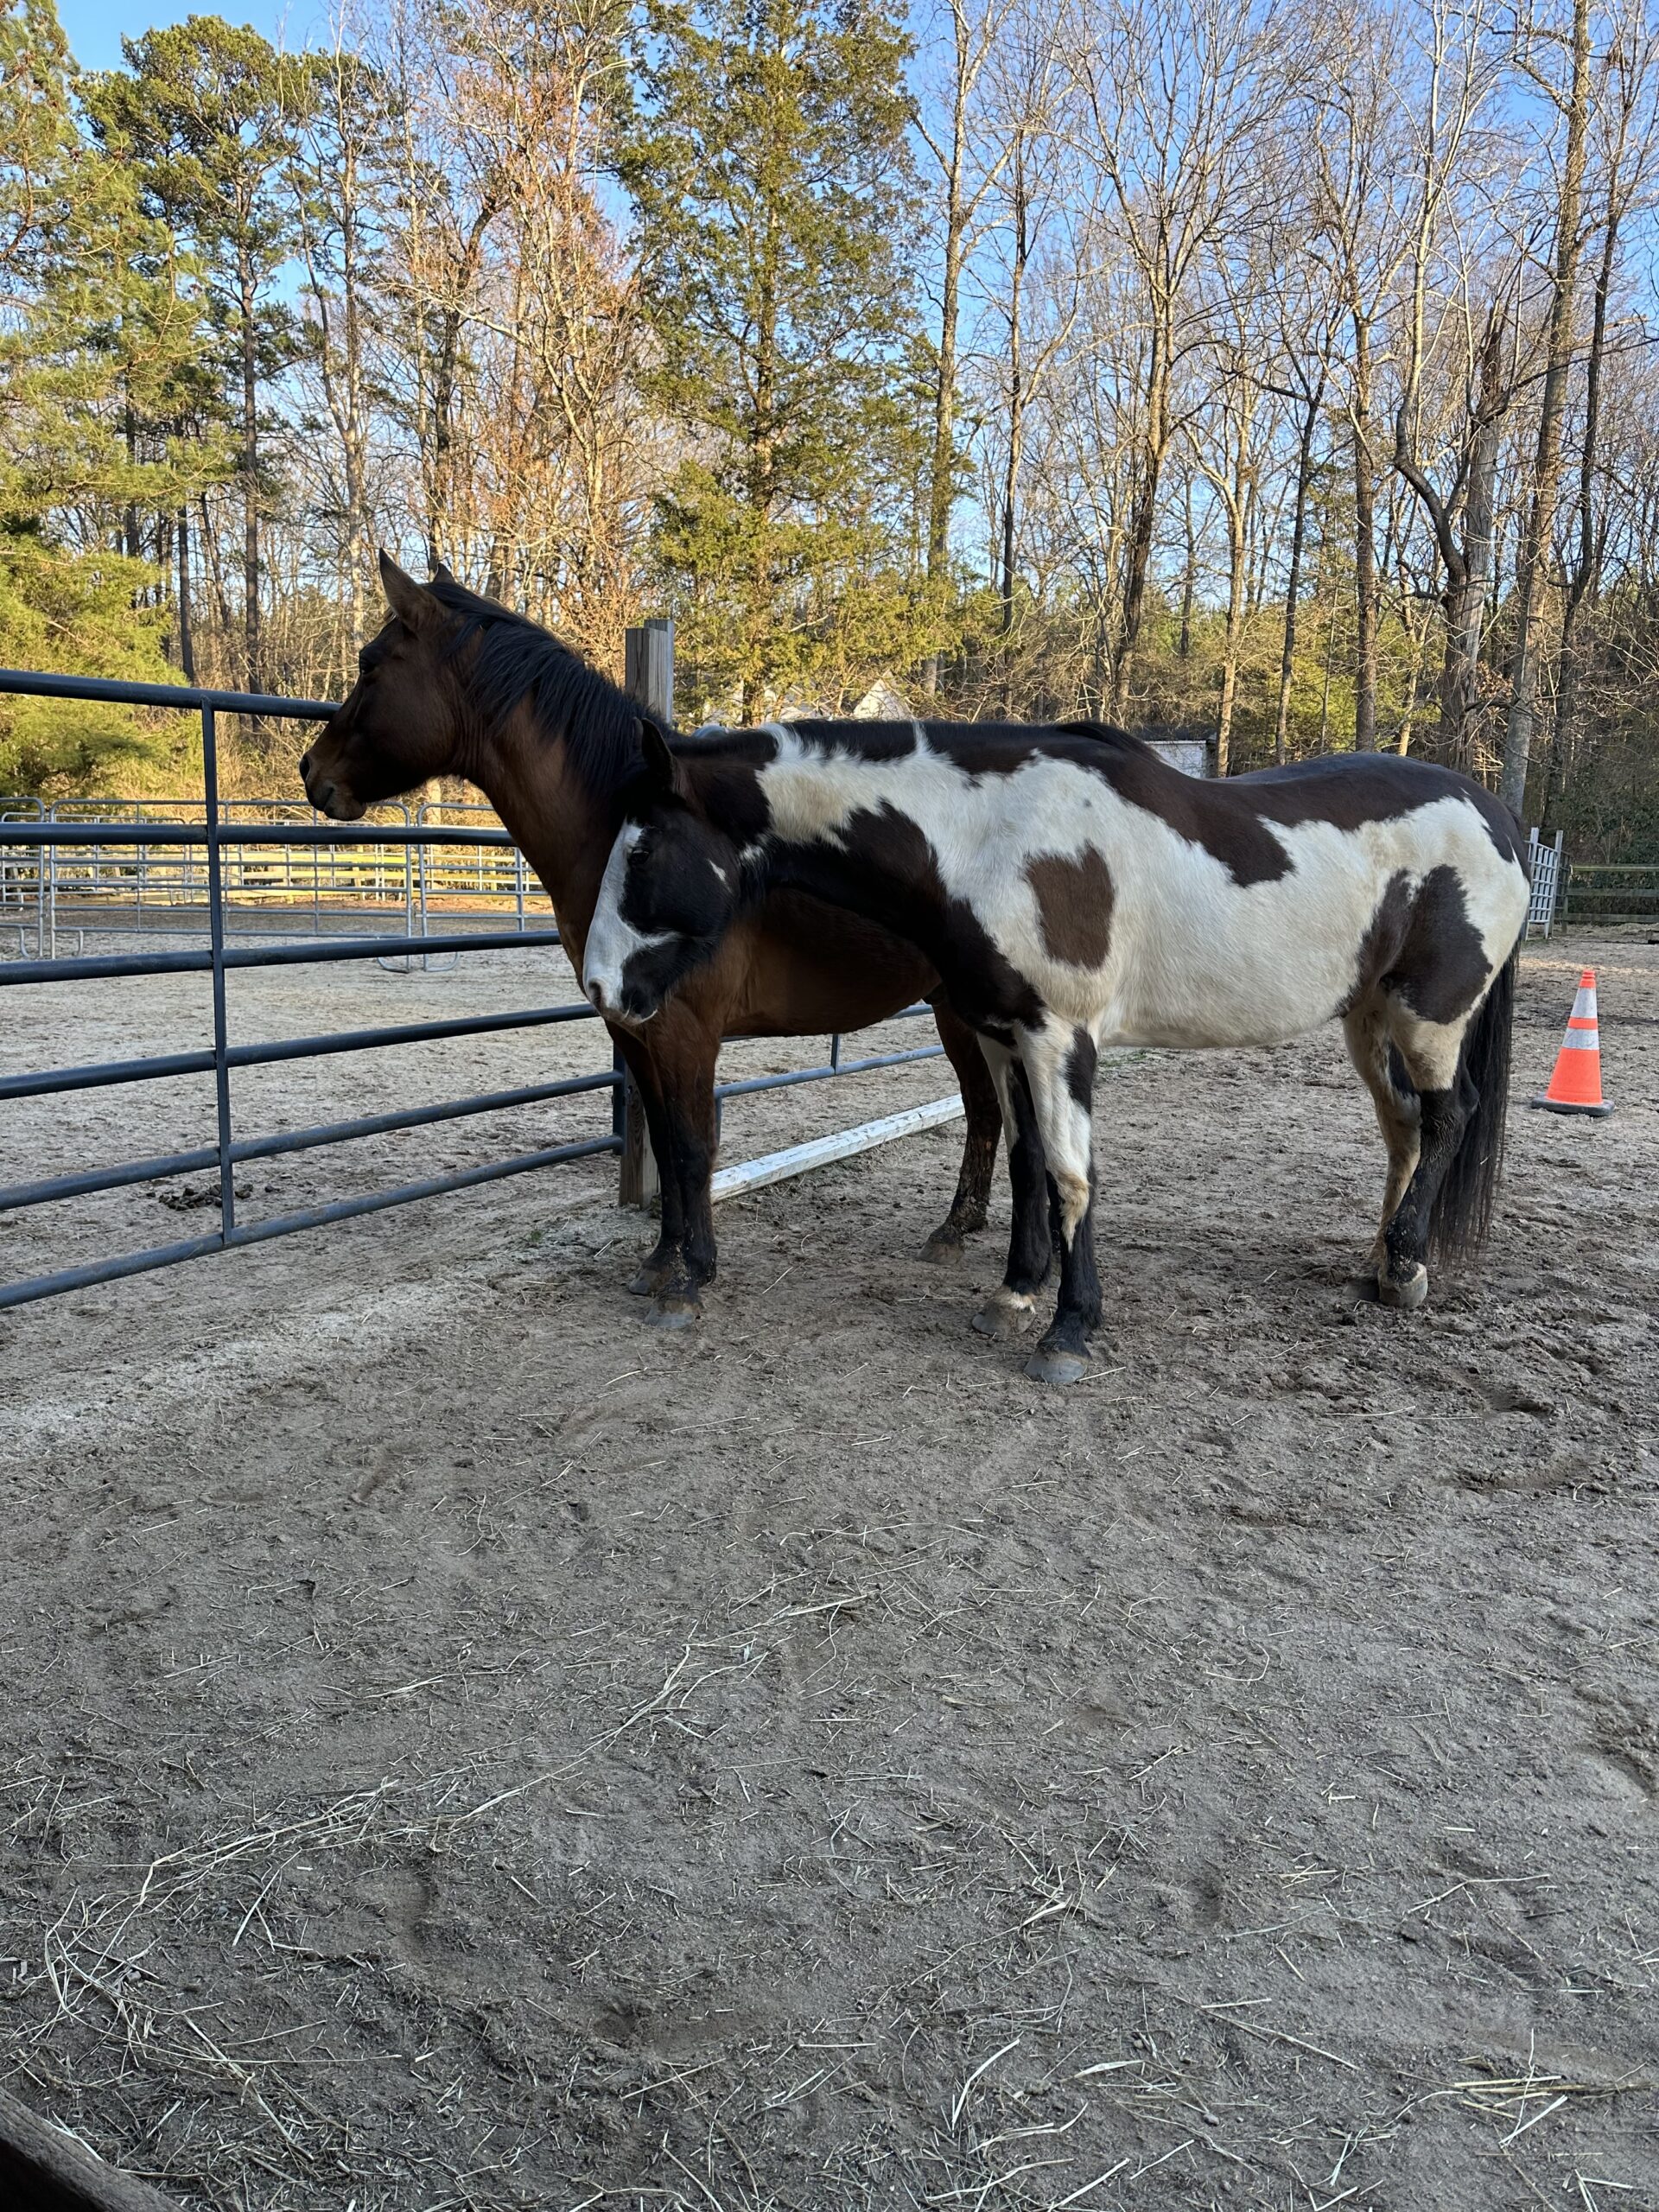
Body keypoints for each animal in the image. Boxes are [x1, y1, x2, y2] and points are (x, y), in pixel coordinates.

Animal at [296, 557, 1013, 1309]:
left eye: (370, 664)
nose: (312, 772)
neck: (624, 838)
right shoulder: (633, 1029)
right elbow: (667, 1150)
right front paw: (663, 1261)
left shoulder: (685, 1029)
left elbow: (694, 1147)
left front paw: (691, 1278)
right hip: (956, 1008)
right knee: (987, 1109)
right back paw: (956, 1229)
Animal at [579, 721, 1530, 1380]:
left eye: (643, 847)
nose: (600, 988)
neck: (987, 838)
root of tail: (1498, 815)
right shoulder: (1002, 1035)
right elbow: (1027, 1163)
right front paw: (1014, 1292)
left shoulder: (1060, 1037)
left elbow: (1073, 1178)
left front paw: (1068, 1330)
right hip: (1368, 1018)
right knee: (1405, 1129)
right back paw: (1382, 1262)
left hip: (1430, 1018)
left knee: (1449, 1117)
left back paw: (1404, 1268)